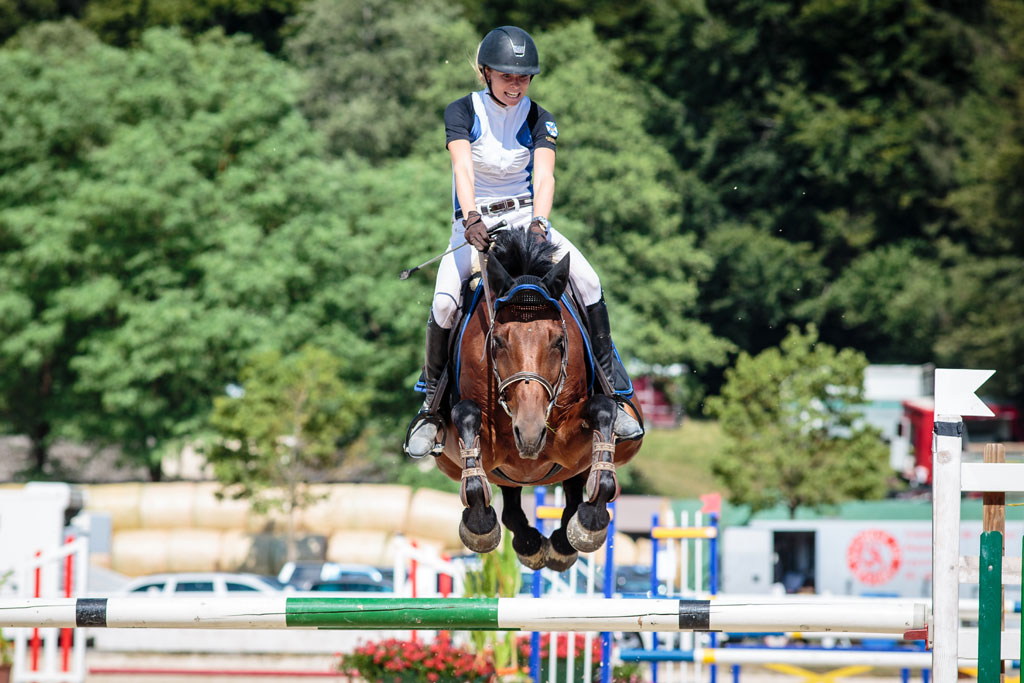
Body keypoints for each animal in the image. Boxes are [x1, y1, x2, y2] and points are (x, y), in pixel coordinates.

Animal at [430, 232, 638, 573]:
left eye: (559, 342)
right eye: (497, 341)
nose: (529, 433)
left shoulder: (568, 440)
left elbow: (602, 411)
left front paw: (590, 521)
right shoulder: (481, 442)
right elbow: (467, 417)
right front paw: (479, 523)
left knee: (571, 488)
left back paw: (560, 545)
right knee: (512, 501)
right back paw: (529, 544)